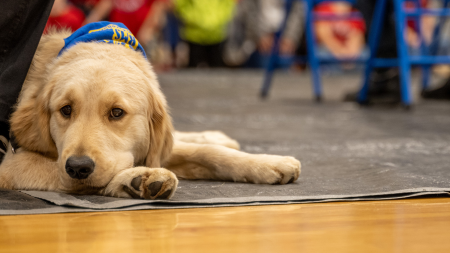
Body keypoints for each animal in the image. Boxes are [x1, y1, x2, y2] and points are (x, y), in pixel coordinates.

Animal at [0, 28, 302, 200]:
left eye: (117, 112)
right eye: (66, 110)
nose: (78, 167)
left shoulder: (158, 145)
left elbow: (207, 153)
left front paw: (268, 163)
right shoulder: (11, 163)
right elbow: (66, 173)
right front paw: (135, 180)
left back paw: (216, 136)